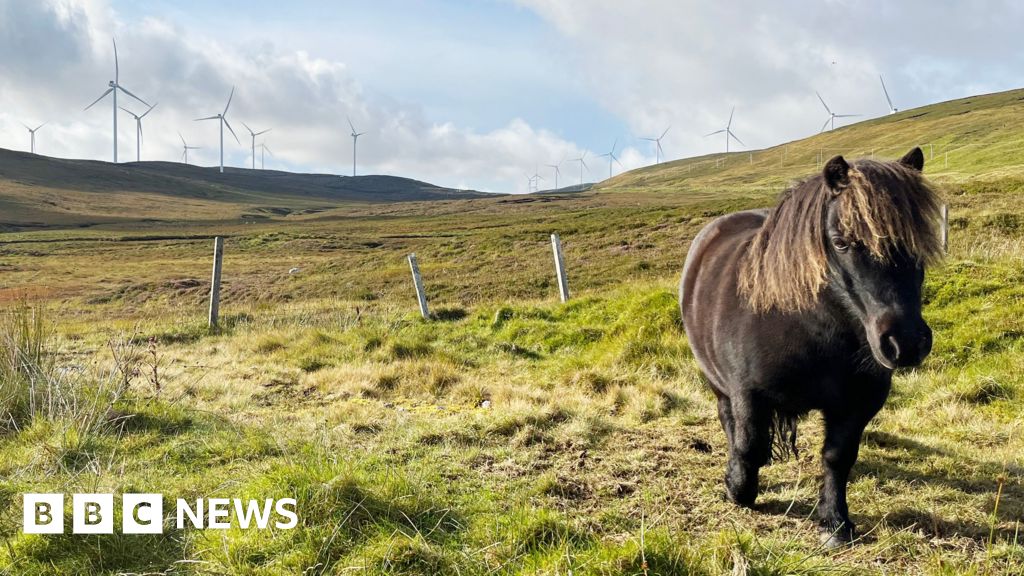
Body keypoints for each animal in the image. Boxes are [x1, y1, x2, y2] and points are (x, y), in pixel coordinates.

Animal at [679, 146, 942, 541]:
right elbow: (747, 445)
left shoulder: (858, 403)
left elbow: (837, 456)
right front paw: (737, 489)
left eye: (918, 241)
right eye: (841, 242)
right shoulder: (747, 394)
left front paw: (834, 521)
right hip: (718, 383)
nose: (906, 342)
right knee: (728, 421)